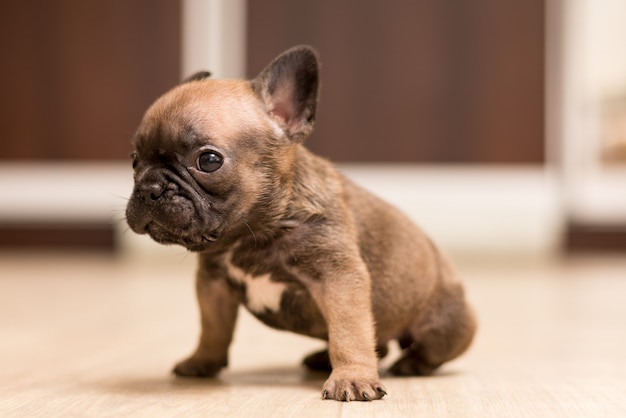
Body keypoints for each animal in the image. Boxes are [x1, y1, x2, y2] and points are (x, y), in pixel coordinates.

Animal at [128, 45, 478, 402]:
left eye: (209, 160)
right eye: (134, 160)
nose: (149, 188)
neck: (255, 233)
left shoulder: (338, 278)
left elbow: (348, 332)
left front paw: (352, 377)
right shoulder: (213, 285)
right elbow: (213, 328)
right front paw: (202, 360)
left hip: (446, 325)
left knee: (426, 348)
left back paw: (411, 364)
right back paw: (322, 358)